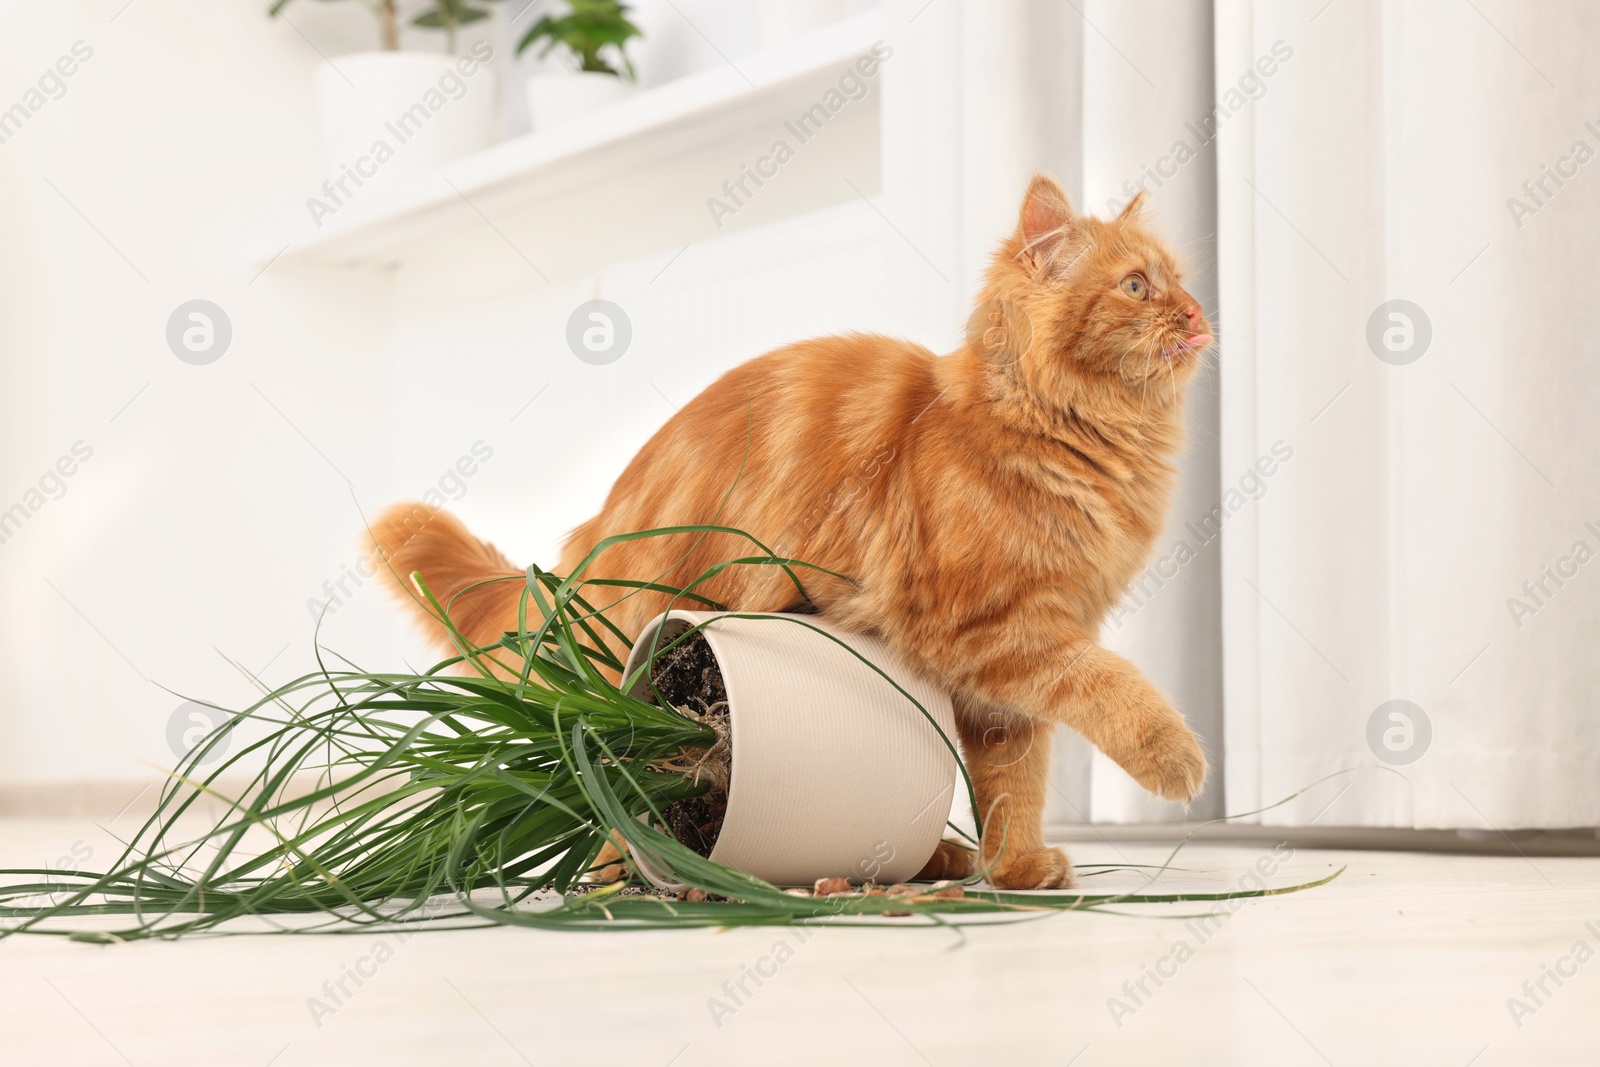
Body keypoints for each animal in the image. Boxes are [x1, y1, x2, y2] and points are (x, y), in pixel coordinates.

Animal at [366, 177, 1209, 895]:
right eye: (1138, 286)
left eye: (1181, 283)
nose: (1200, 315)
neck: (1053, 428)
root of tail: (589, 535)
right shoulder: (994, 627)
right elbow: (1110, 686)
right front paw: (1176, 758)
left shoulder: (1005, 680)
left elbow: (1013, 784)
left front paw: (1018, 869)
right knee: (597, 784)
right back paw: (626, 874)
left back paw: (936, 859)